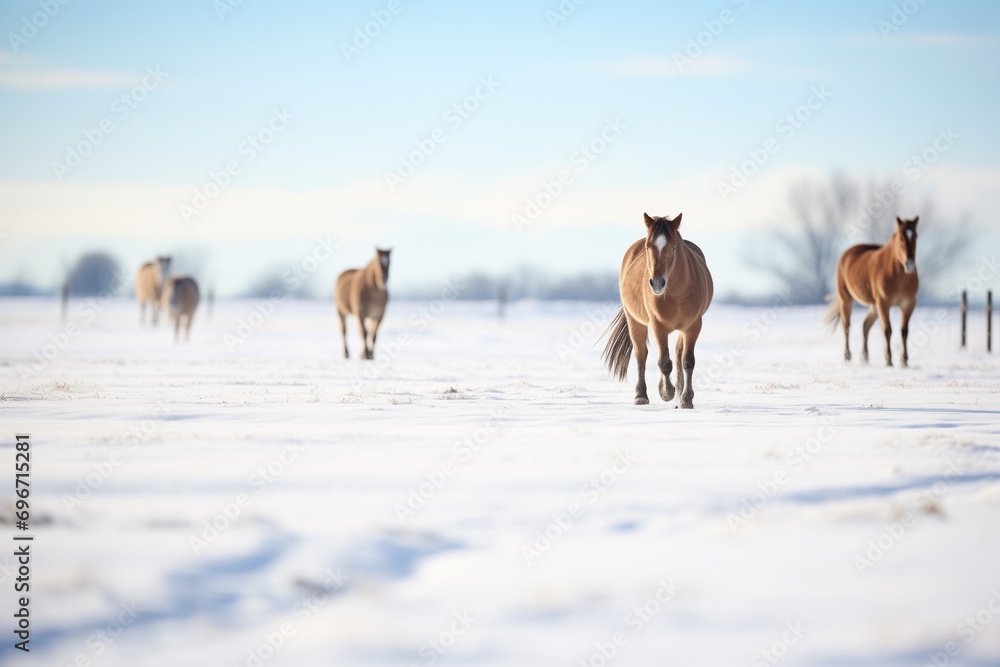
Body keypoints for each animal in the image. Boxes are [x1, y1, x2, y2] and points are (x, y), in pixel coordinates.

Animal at [602, 213, 714, 408]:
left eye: (674, 247)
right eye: (648, 247)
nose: (657, 283)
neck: (676, 294)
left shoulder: (693, 325)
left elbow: (687, 361)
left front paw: (685, 399)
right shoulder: (658, 326)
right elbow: (664, 362)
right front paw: (666, 392)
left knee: (677, 355)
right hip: (634, 321)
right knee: (641, 355)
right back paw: (641, 395)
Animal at [825, 216, 919, 367]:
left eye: (915, 236)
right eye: (901, 238)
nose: (909, 264)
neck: (898, 276)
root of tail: (846, 254)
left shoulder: (908, 304)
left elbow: (904, 331)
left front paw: (904, 361)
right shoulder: (883, 303)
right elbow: (887, 330)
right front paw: (889, 361)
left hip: (874, 306)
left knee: (865, 326)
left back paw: (865, 357)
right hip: (846, 300)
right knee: (846, 326)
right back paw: (847, 357)